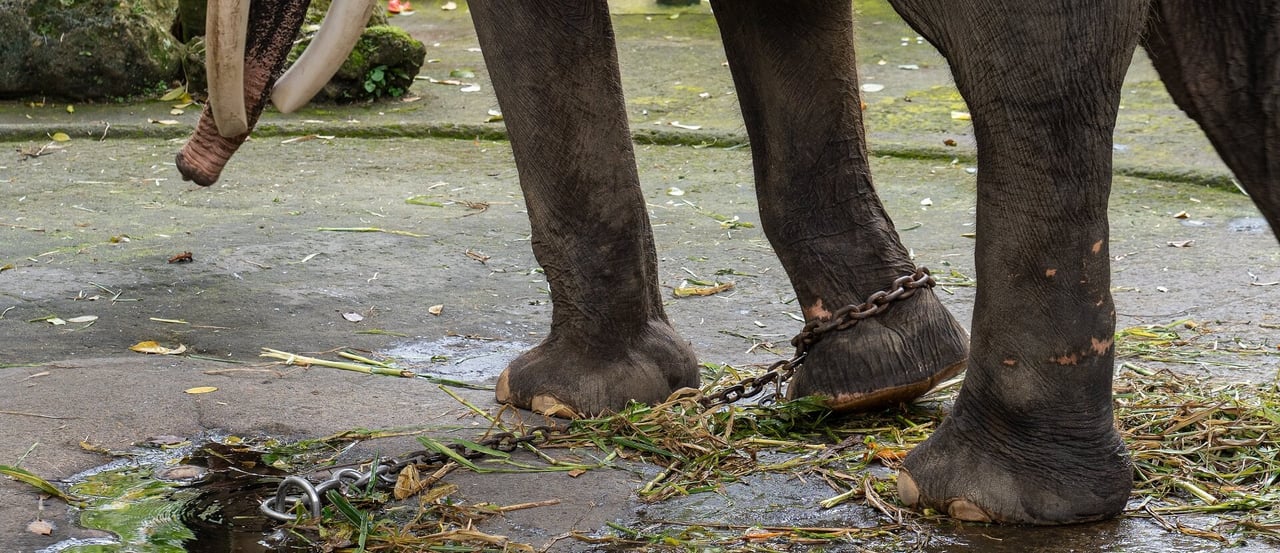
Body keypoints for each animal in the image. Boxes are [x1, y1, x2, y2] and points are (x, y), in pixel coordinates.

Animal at [177, 0, 1280, 527]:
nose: (191, 168)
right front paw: (877, 374)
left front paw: (549, 400)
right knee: (1225, 74)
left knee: (1037, 60)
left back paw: (960, 496)